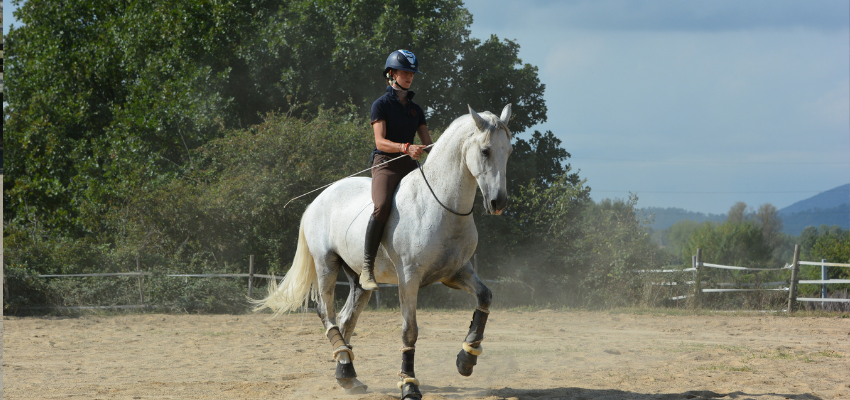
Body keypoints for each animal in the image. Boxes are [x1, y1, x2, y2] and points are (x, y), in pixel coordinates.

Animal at [252, 104, 510, 398]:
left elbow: (485, 297)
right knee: (327, 312)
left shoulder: (456, 273)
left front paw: (466, 359)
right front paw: (409, 384)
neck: (441, 205)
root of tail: (318, 200)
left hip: (358, 279)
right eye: (485, 151)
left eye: (509, 151)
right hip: (326, 264)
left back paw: (347, 374)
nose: (498, 202)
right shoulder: (409, 279)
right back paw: (346, 368)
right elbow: (409, 331)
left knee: (346, 318)